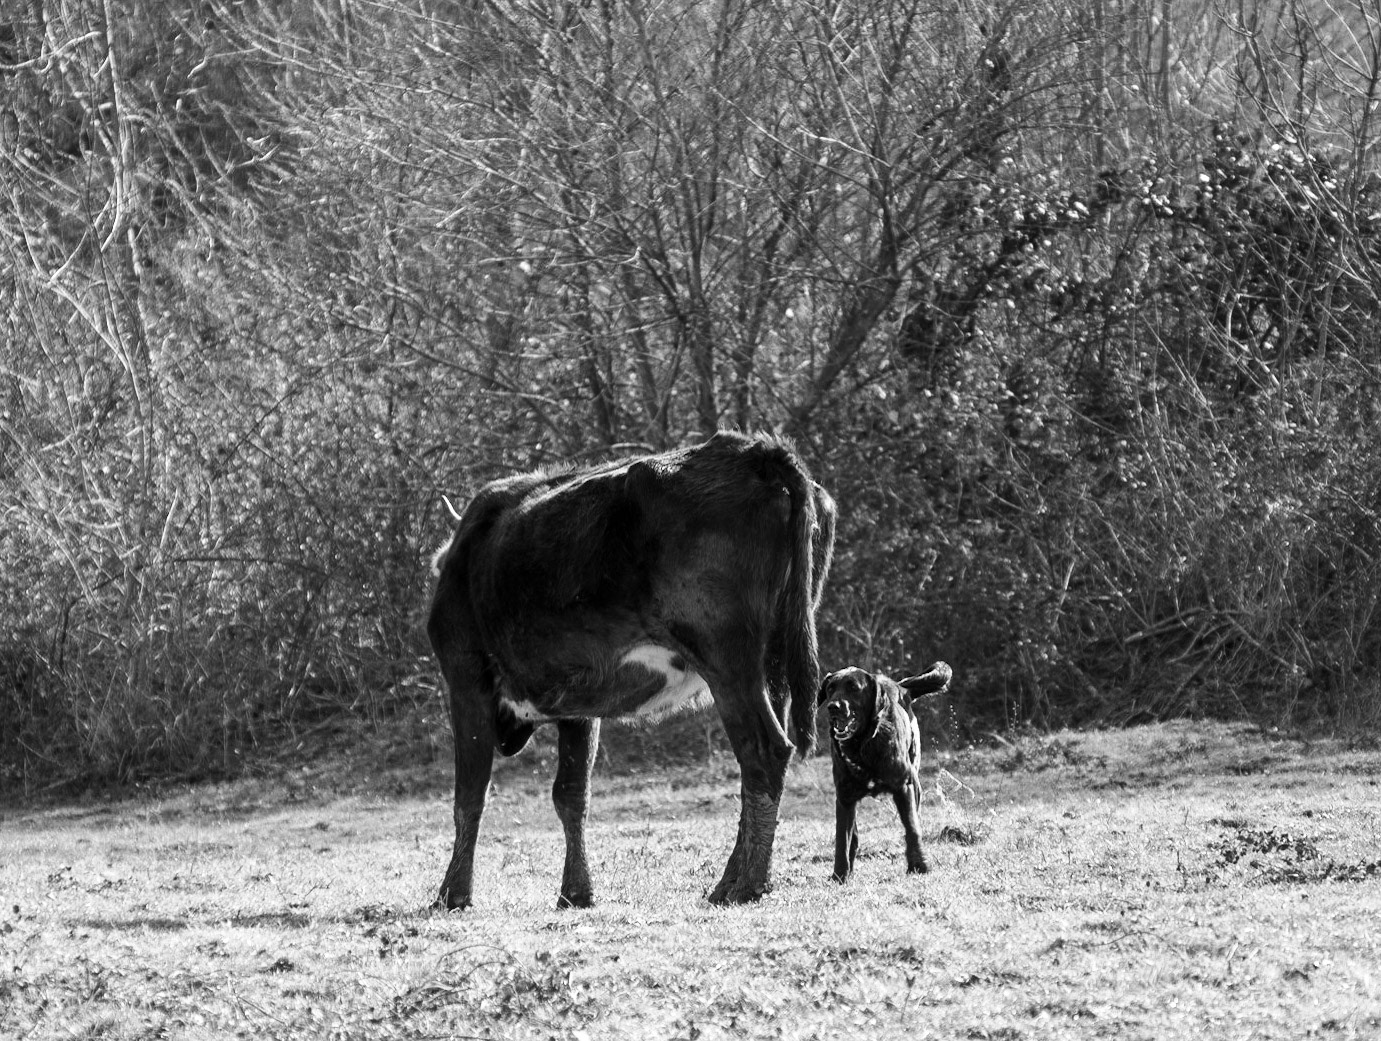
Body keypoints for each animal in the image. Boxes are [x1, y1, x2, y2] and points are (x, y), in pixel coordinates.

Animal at [427, 431, 836, 909]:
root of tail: (754, 451)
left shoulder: (466, 681)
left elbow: (469, 795)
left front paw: (453, 892)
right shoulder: (577, 703)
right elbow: (571, 796)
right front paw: (576, 891)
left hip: (730, 664)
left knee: (764, 751)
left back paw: (746, 884)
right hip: (774, 663)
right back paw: (736, 878)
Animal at [817, 662, 952, 882]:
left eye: (853, 687)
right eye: (830, 689)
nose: (833, 707)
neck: (862, 745)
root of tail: (901, 687)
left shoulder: (903, 787)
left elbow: (912, 828)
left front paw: (919, 865)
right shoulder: (844, 797)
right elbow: (842, 840)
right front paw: (840, 875)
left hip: (915, 783)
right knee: (853, 835)